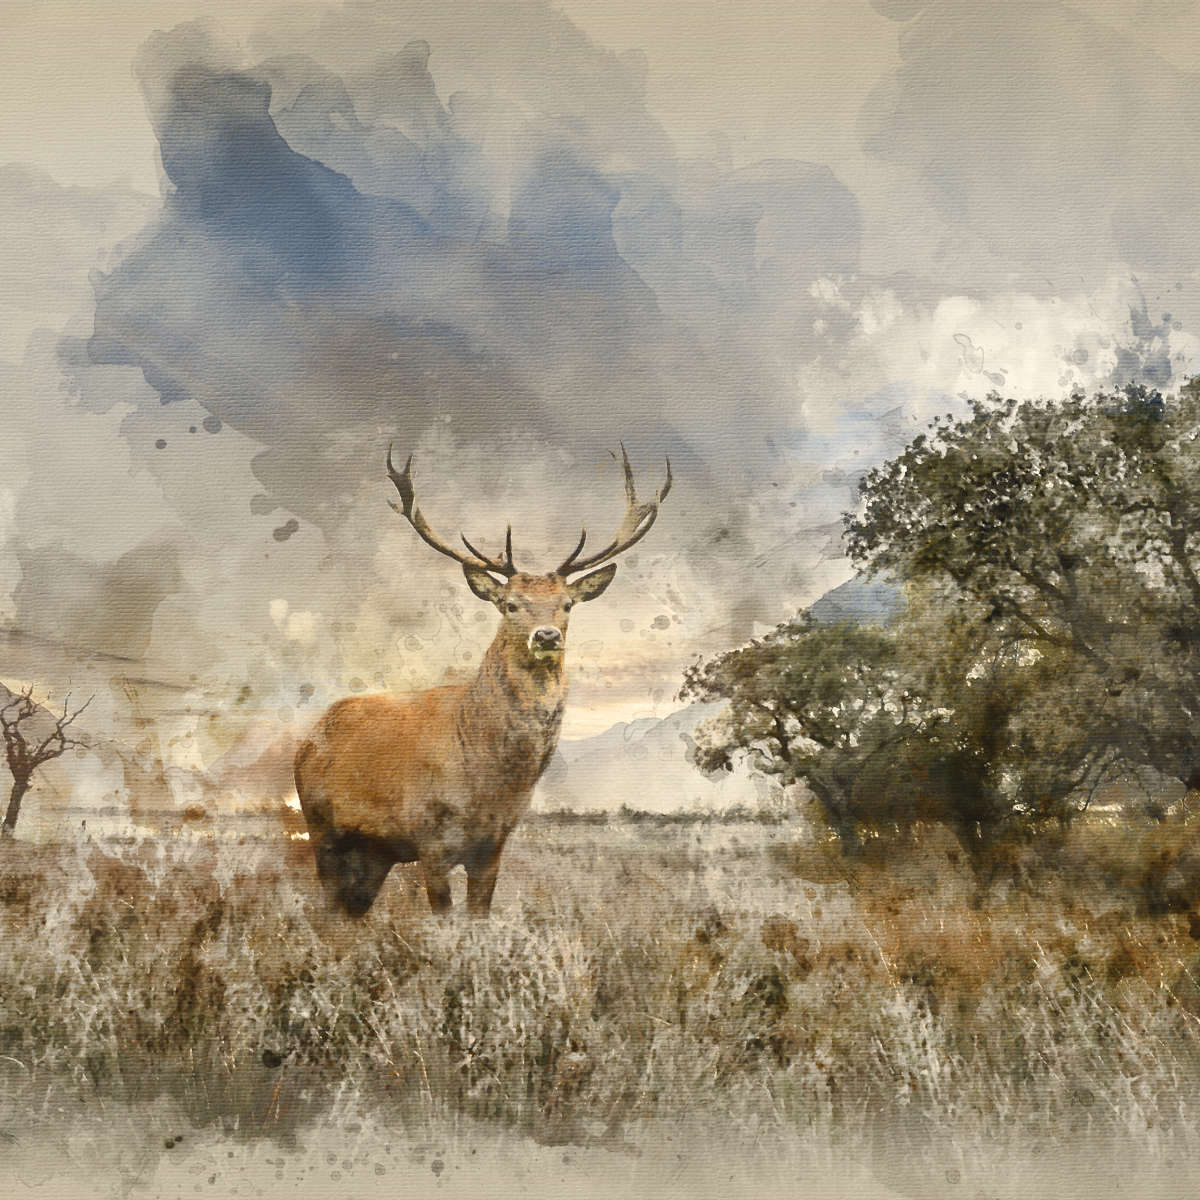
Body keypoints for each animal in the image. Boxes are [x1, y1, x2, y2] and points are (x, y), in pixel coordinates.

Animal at [294, 445, 671, 917]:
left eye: (567, 604)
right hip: (321, 827)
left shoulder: (494, 845)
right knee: (327, 909)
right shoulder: (429, 837)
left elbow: (479, 917)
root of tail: (308, 739)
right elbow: (443, 918)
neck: (488, 780)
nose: (546, 636)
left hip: (373, 853)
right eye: (510, 604)